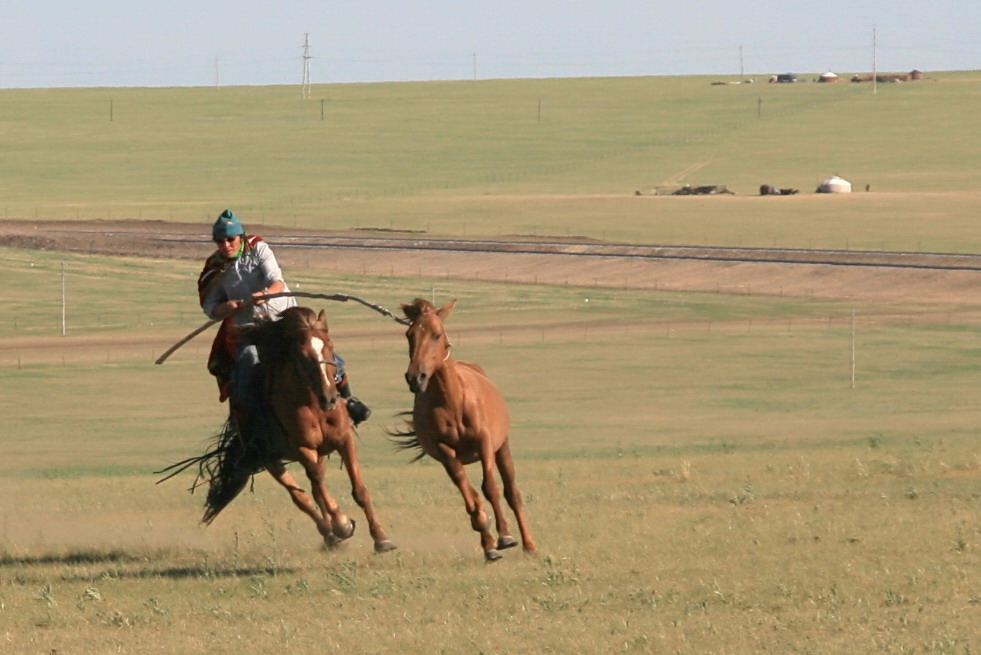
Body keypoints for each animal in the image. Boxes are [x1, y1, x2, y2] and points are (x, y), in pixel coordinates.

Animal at [390, 300, 536, 560]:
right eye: (409, 334)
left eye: (437, 334)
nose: (415, 378)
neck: (453, 402)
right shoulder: (445, 452)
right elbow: (471, 498)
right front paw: (487, 539)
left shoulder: (484, 444)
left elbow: (490, 488)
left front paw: (505, 536)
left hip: (502, 448)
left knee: (512, 493)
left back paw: (529, 544)